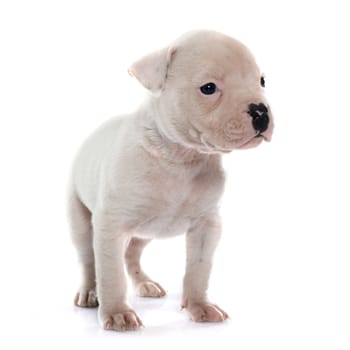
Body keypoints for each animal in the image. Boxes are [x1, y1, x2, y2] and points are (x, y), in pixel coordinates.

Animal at [67, 30, 274, 330]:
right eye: (208, 88)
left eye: (262, 81)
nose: (261, 111)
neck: (180, 156)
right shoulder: (111, 224)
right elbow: (111, 274)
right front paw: (117, 313)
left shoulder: (207, 226)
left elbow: (199, 268)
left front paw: (200, 306)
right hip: (81, 218)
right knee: (89, 260)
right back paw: (89, 292)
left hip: (147, 230)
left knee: (131, 253)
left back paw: (146, 284)